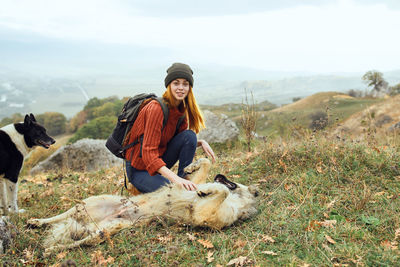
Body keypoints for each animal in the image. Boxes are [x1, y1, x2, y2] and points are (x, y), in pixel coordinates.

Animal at [28, 159, 260, 255]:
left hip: (107, 230)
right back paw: (35, 222)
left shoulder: (203, 215)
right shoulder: (190, 183)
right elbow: (204, 169)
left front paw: (209, 190)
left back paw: (51, 249)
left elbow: (221, 192)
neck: (237, 202)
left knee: (79, 242)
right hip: (91, 201)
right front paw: (193, 168)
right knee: (60, 216)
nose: (221, 175)